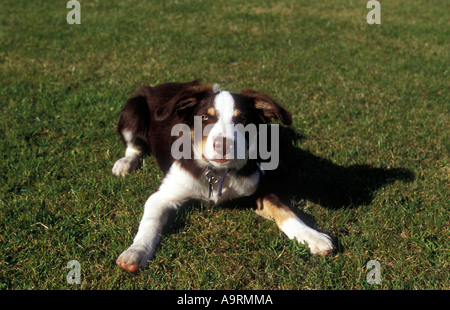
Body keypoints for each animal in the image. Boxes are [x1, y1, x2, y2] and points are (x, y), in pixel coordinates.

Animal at [112, 80, 334, 272]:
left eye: (242, 120)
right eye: (204, 118)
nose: (223, 146)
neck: (215, 173)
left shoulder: (259, 188)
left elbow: (285, 210)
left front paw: (313, 236)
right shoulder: (162, 195)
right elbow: (150, 223)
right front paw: (135, 252)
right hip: (133, 110)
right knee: (133, 146)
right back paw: (125, 163)